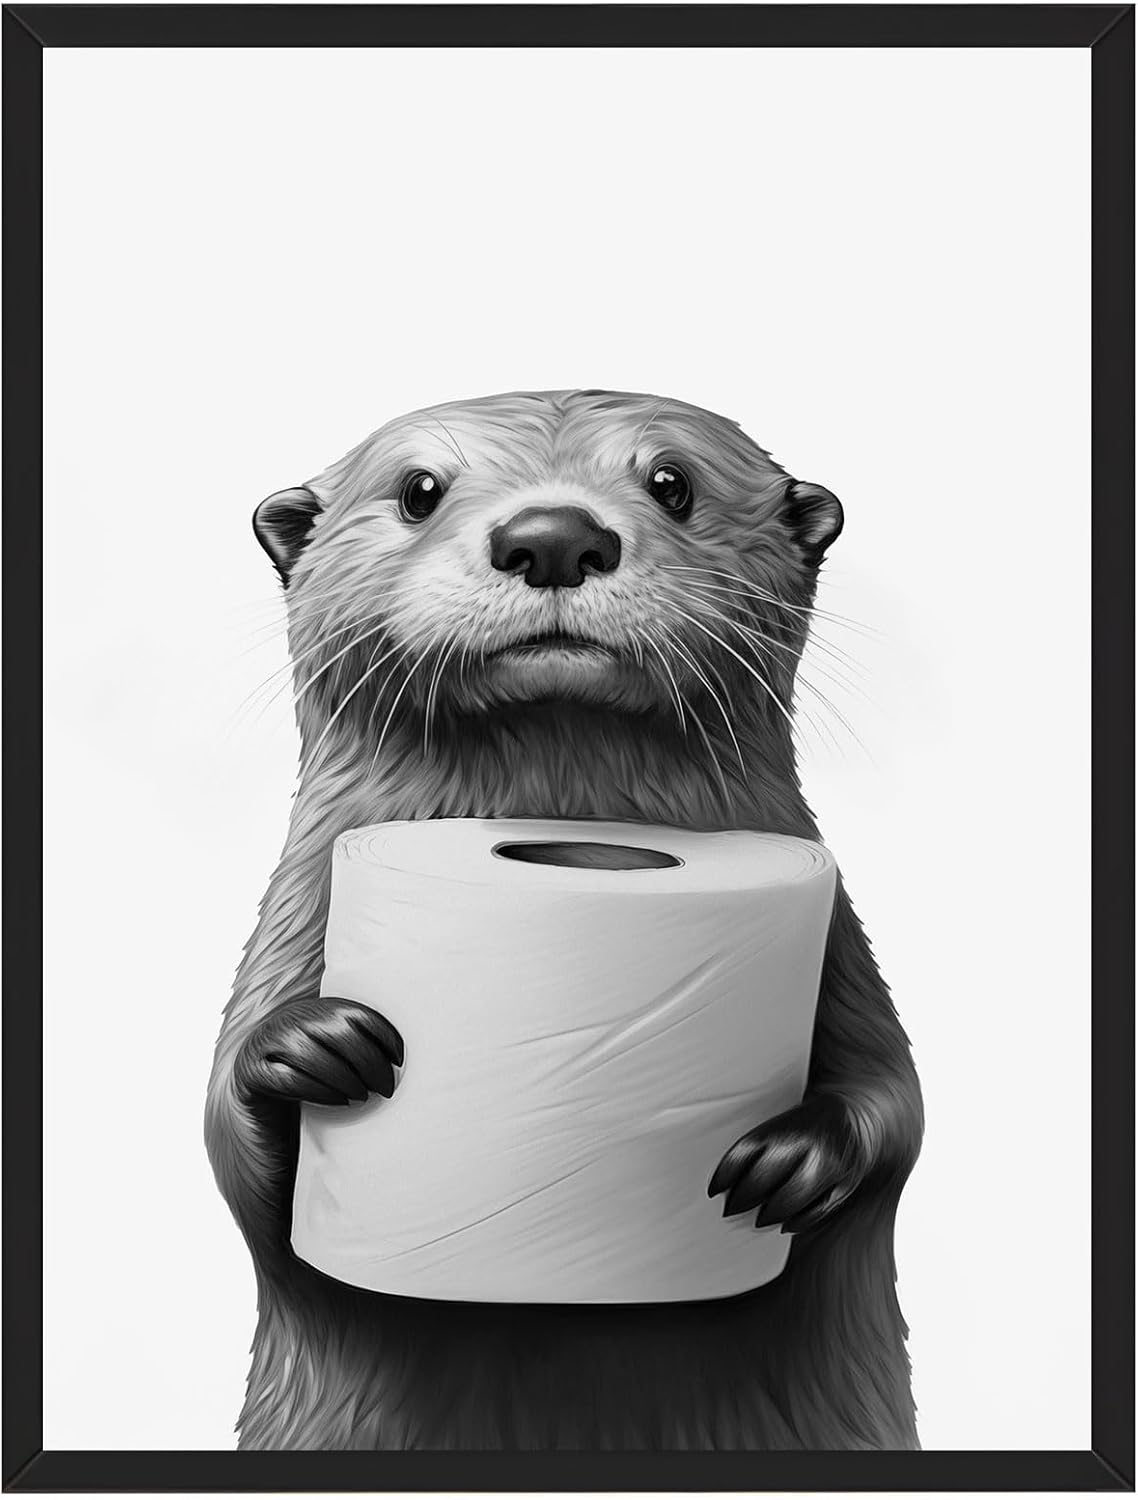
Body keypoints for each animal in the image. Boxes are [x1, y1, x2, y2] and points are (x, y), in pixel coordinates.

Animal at [206, 389, 923, 1451]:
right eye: (420, 489)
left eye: (673, 482)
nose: (552, 536)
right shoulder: (292, 926)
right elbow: (234, 1154)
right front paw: (309, 1045)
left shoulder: (839, 946)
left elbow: (897, 1104)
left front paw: (794, 1158)